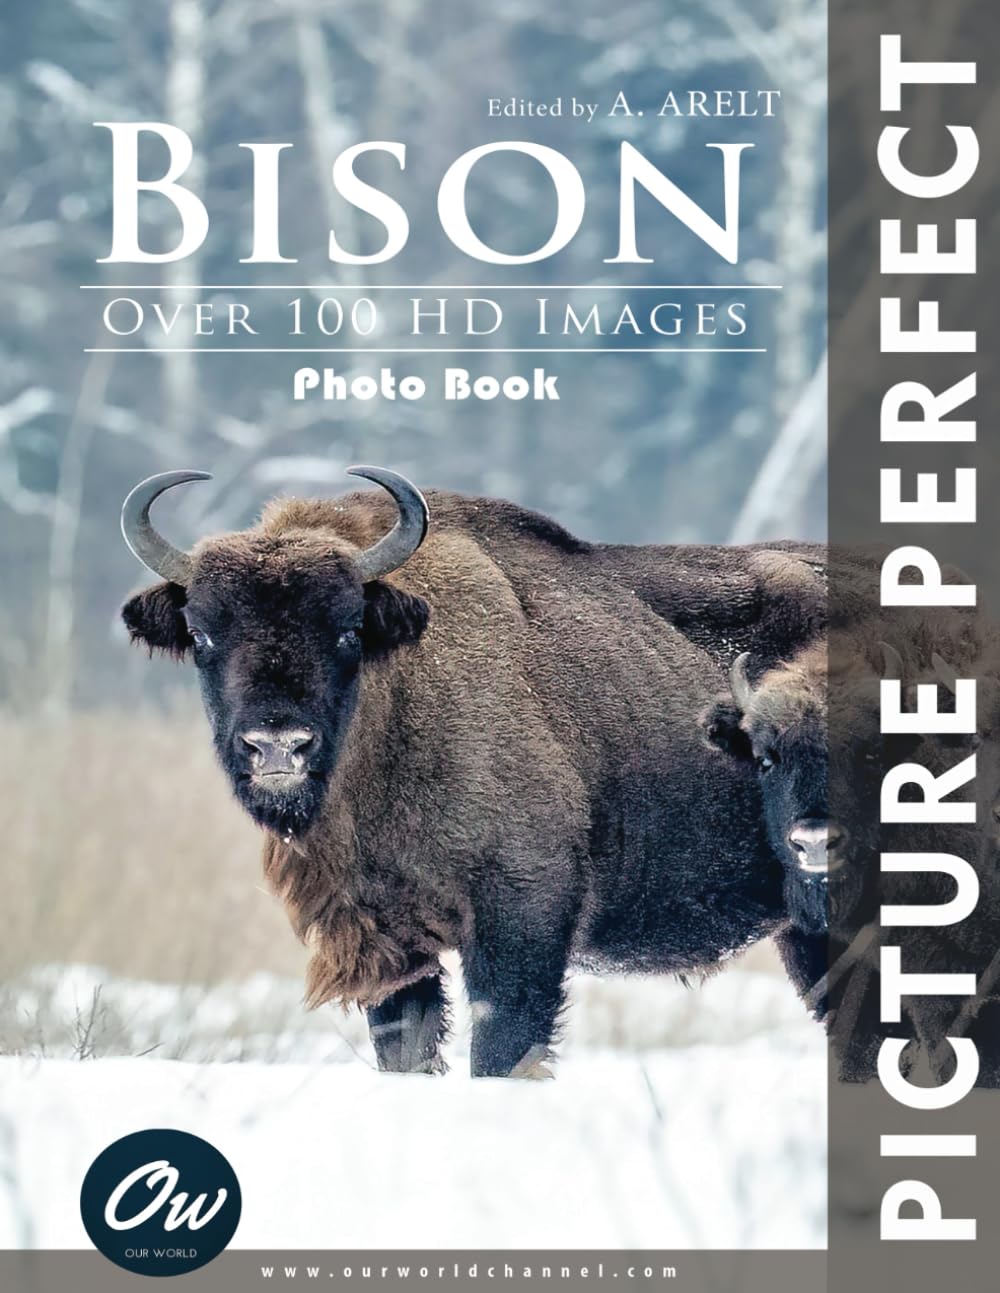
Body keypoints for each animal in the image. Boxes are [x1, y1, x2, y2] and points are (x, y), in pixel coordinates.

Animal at [121, 466, 826, 1078]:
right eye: (202, 634)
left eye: (348, 629)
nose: (277, 746)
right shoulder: (389, 938)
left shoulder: (521, 915)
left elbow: (499, 1048)